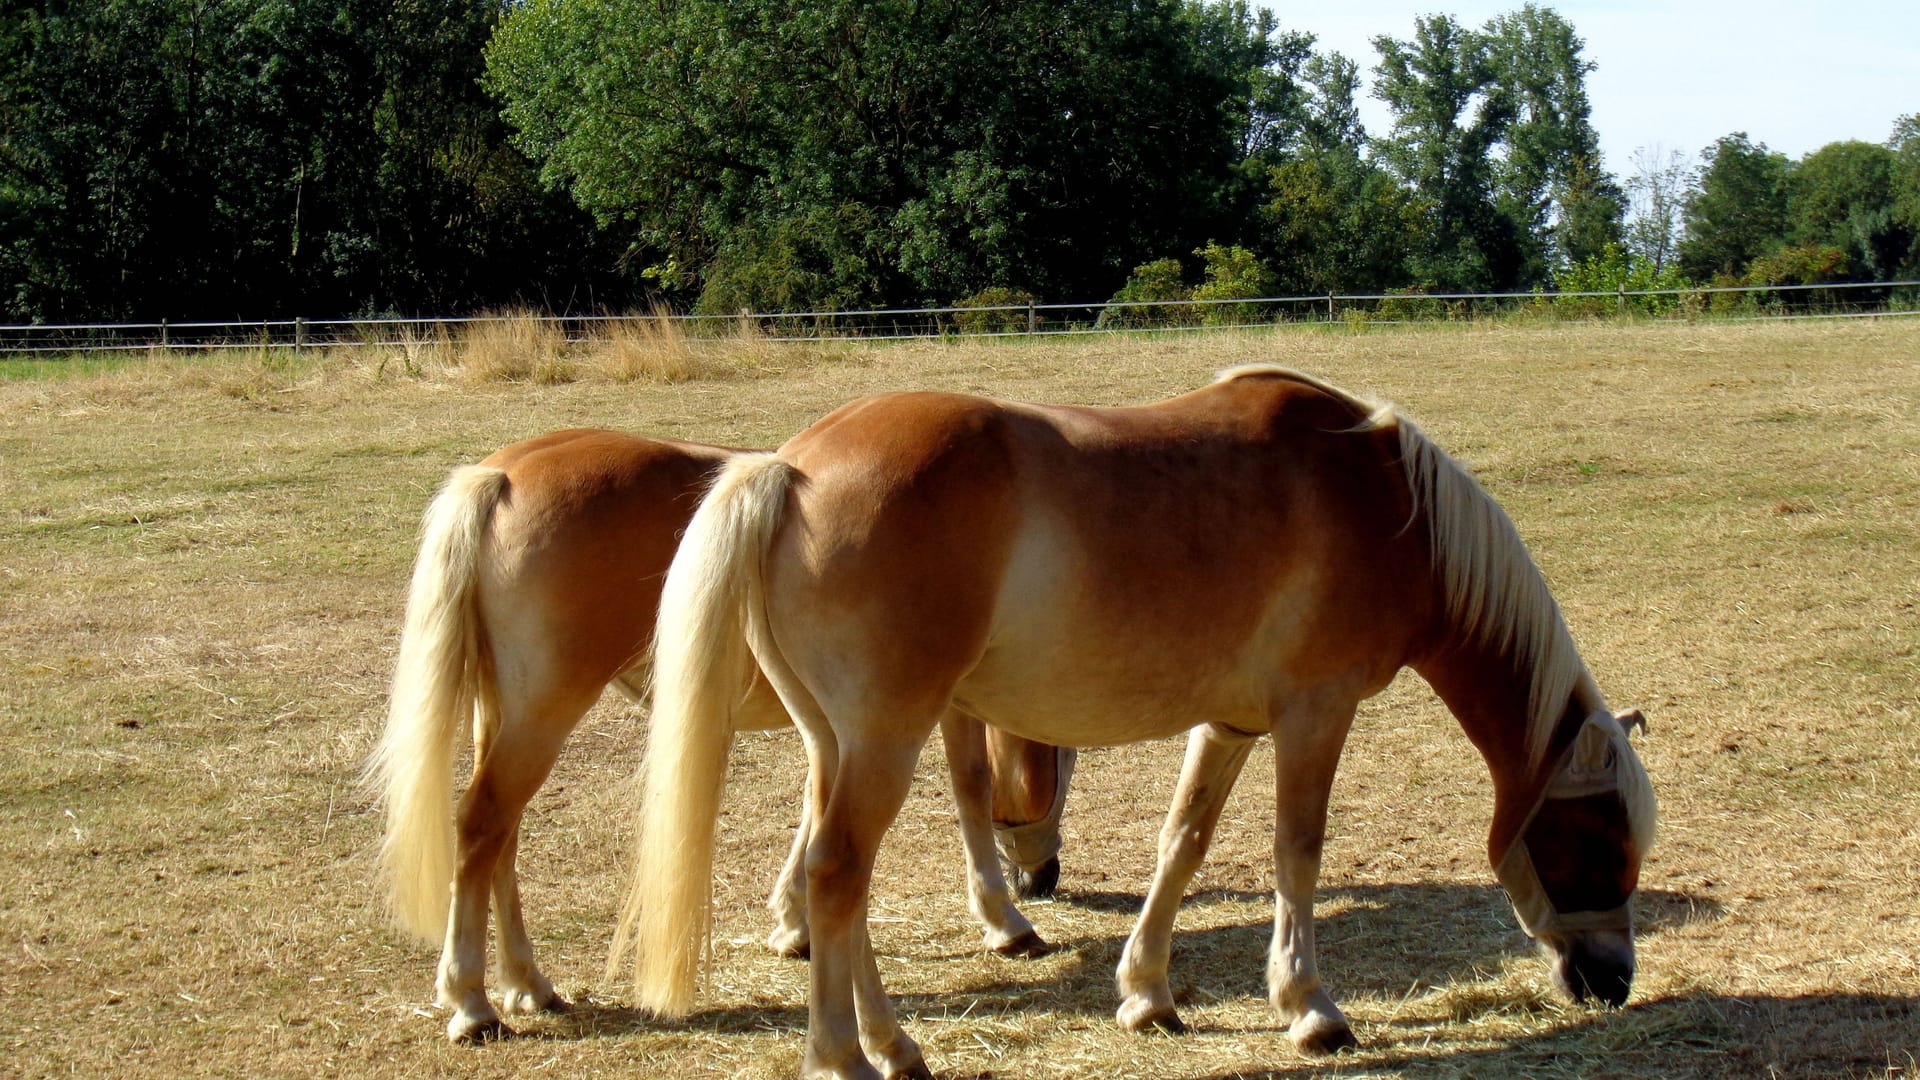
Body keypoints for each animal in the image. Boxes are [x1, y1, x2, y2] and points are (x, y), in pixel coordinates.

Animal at [362, 424, 1082, 1037]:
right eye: (1063, 774)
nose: (1044, 877)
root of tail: (503, 474)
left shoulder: (835, 726)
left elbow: (811, 810)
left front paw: (795, 923)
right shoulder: (937, 708)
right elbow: (969, 789)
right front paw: (1005, 921)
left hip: (505, 713)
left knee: (499, 841)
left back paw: (526, 983)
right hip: (542, 713)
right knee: (482, 824)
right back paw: (472, 1003)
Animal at [622, 365, 1658, 1068]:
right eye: (1599, 838)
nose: (1613, 980)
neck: (1392, 509)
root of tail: (790, 471)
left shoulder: (1232, 724)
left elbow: (1182, 843)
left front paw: (1148, 994)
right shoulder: (1314, 715)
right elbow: (1297, 852)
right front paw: (1309, 1007)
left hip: (835, 743)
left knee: (832, 875)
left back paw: (889, 1041)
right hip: (884, 738)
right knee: (839, 873)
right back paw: (849, 1054)